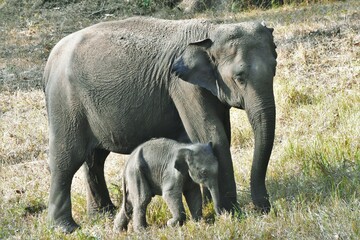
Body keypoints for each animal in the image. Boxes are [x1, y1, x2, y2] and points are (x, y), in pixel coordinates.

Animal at [43, 16, 278, 232]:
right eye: (239, 77)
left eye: (275, 68)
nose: (264, 208)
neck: (212, 30)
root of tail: (50, 61)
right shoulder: (182, 86)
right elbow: (212, 135)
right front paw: (229, 214)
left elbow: (221, 134)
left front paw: (210, 208)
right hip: (64, 102)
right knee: (67, 159)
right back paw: (67, 228)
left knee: (94, 158)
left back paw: (103, 214)